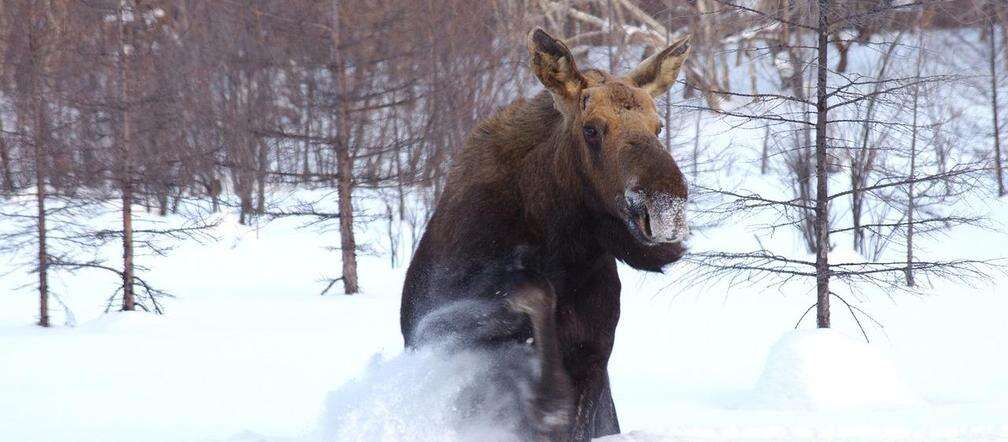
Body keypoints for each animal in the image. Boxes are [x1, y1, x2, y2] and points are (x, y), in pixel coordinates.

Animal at [401, 28, 693, 442]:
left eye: (658, 126)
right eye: (591, 129)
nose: (666, 207)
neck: (563, 250)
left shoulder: (595, 356)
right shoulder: (436, 326)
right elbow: (534, 291)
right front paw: (548, 398)